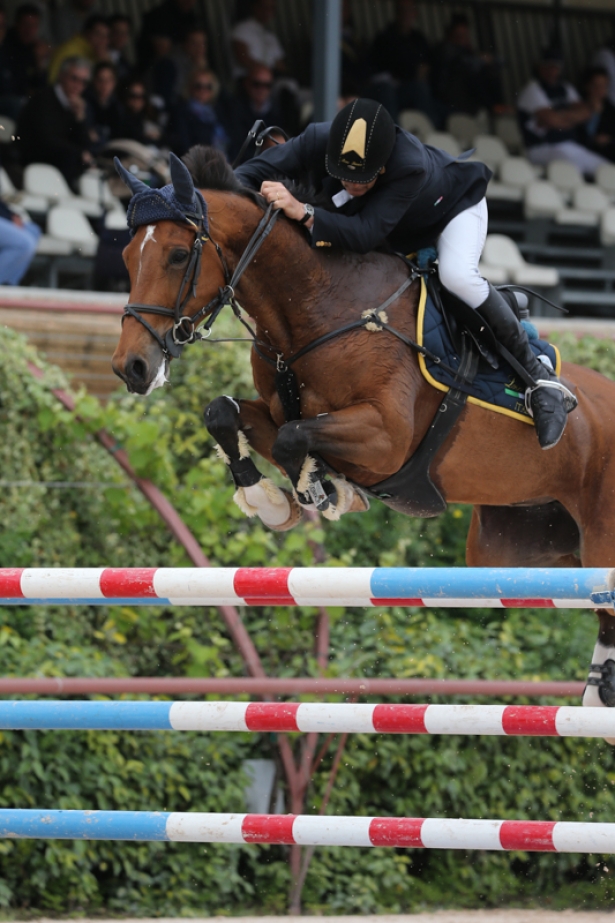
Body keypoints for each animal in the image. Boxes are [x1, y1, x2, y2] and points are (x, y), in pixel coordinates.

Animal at [112, 150, 615, 716]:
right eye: (128, 255)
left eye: (178, 255)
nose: (131, 368)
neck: (315, 306)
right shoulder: (280, 411)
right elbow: (225, 413)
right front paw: (275, 500)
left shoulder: (386, 438)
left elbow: (294, 440)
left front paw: (320, 493)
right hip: (516, 551)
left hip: (598, 540)